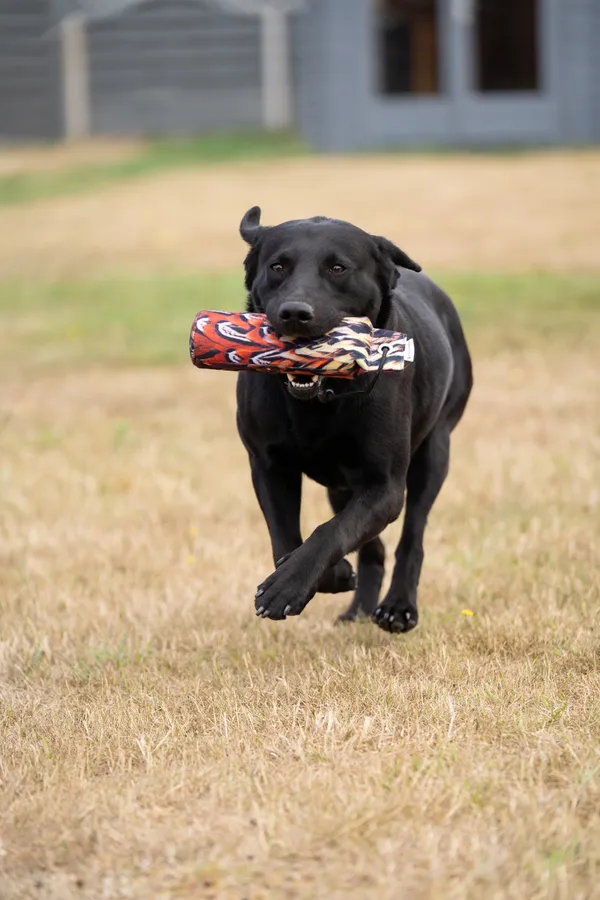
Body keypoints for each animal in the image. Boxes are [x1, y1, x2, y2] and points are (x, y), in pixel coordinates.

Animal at [236, 207, 472, 633]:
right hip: (340, 487)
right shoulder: (268, 466)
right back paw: (358, 608)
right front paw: (327, 576)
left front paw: (288, 586)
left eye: (338, 268)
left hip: (434, 452)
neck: (320, 399)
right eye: (277, 266)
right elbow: (285, 537)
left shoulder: (385, 486)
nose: (294, 313)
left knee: (412, 537)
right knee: (372, 548)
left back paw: (397, 607)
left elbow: (332, 531)